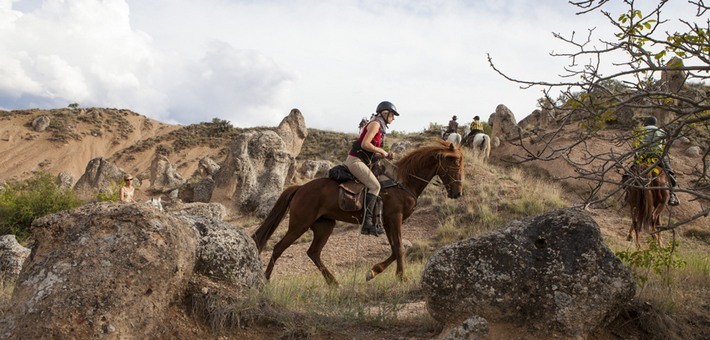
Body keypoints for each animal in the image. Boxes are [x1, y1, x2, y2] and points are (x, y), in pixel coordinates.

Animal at [252, 139, 468, 286]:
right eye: (455, 163)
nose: (457, 193)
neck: (403, 181)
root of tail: (300, 188)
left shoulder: (387, 222)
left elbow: (394, 249)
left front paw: (373, 272)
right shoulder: (394, 219)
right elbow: (399, 248)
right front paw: (401, 277)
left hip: (324, 225)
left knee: (313, 252)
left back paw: (334, 283)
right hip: (300, 224)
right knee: (279, 248)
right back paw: (266, 279)